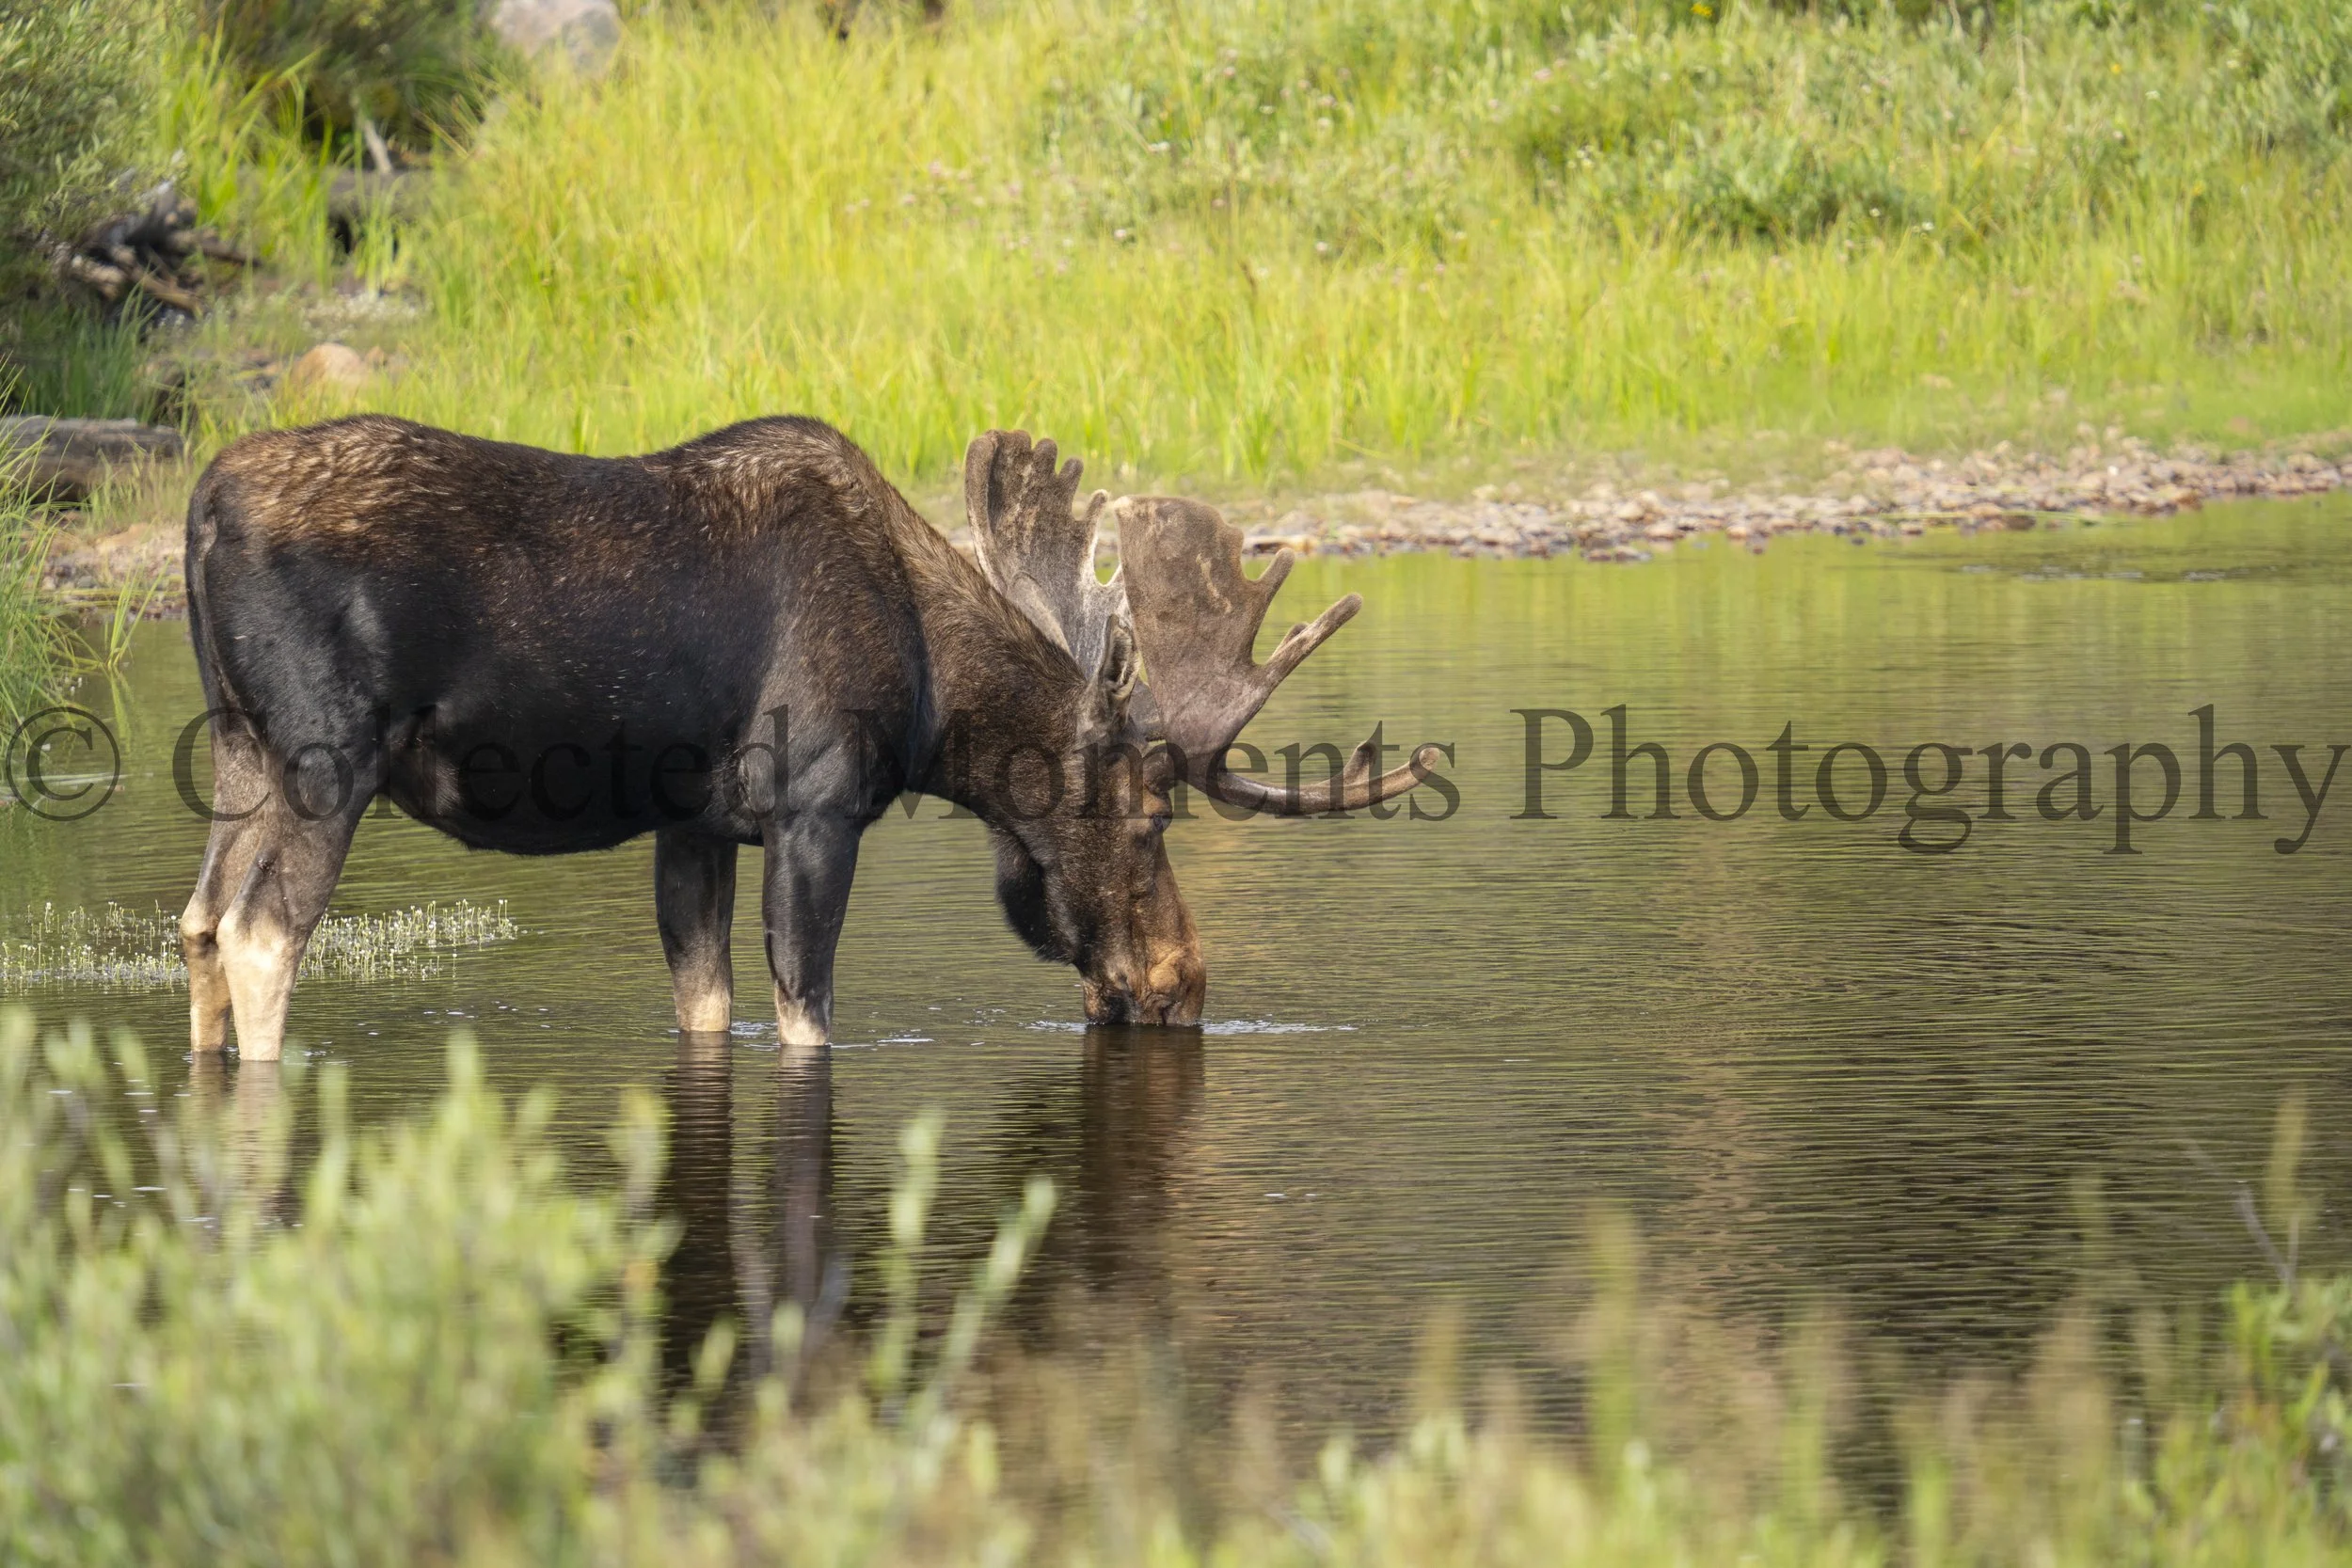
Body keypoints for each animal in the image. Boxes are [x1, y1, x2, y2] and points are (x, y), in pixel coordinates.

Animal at [179, 415, 1443, 1060]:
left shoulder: (689, 824)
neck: (936, 697)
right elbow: (806, 1013)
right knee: (259, 935)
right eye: (1147, 815)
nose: (1186, 981)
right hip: (325, 759)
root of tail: (199, 510)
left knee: (195, 922)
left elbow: (706, 1002)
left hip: (240, 751)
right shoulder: (814, 808)